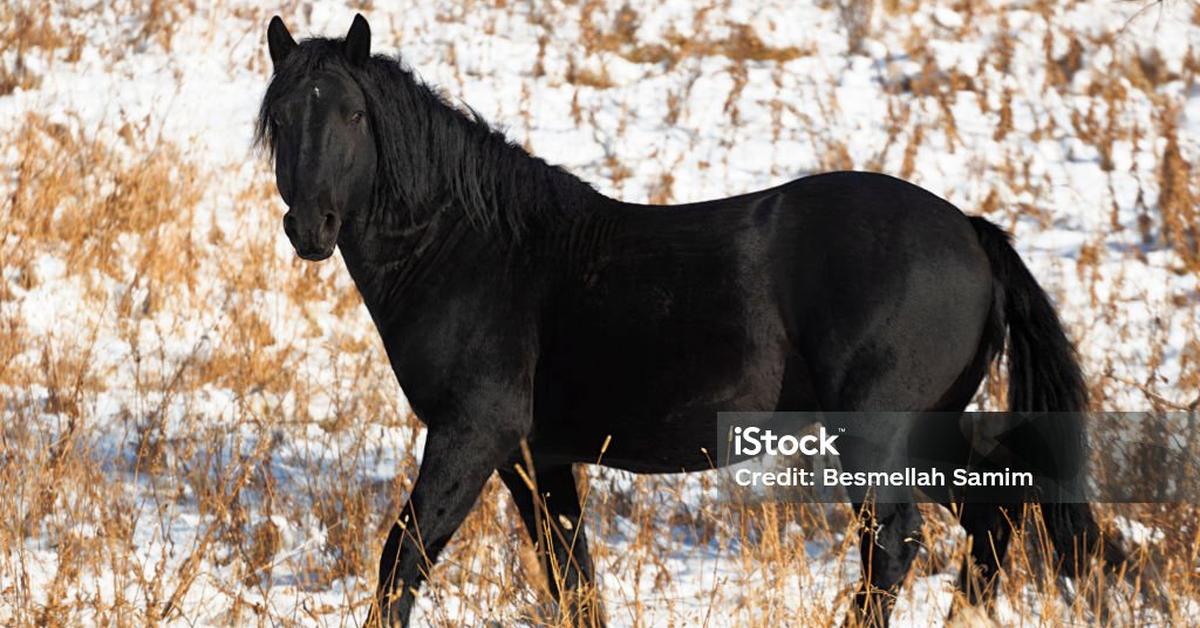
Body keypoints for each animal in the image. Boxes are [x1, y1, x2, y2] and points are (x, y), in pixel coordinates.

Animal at [260, 13, 1123, 624]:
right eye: (281, 120)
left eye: (352, 115)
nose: (310, 228)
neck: (474, 249)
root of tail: (971, 231)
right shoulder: (539, 459)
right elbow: (574, 584)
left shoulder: (474, 436)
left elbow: (401, 561)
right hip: (927, 427)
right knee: (996, 510)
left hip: (877, 434)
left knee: (897, 543)